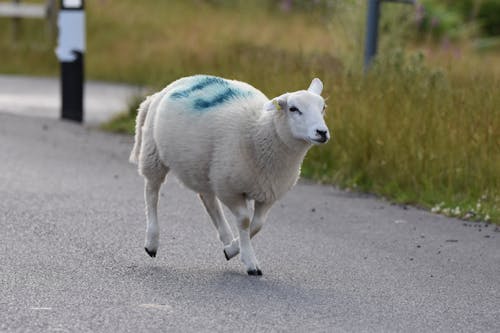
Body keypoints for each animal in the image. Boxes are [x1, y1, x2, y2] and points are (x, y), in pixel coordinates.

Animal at [131, 75, 330, 274]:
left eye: (323, 108)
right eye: (293, 108)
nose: (322, 132)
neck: (260, 132)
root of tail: (162, 91)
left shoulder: (268, 193)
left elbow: (257, 225)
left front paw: (233, 249)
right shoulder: (229, 189)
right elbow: (244, 221)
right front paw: (249, 261)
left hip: (204, 169)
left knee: (208, 199)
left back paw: (226, 239)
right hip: (154, 154)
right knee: (152, 194)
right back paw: (152, 242)